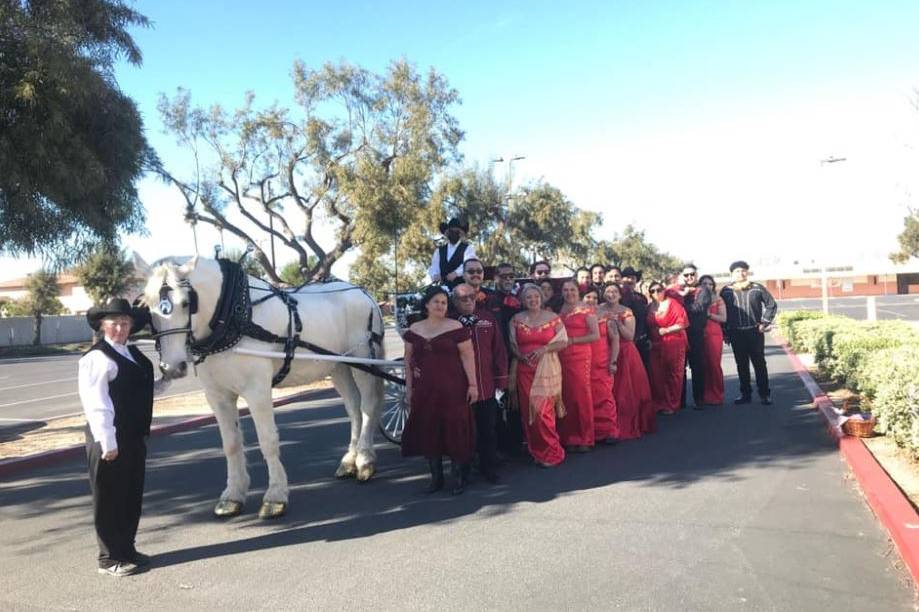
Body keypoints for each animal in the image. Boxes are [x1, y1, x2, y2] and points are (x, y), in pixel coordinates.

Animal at [142, 256, 386, 520]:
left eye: (187, 303)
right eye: (148, 306)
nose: (171, 367)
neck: (233, 316)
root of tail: (364, 293)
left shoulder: (257, 390)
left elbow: (267, 440)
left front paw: (275, 496)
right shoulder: (217, 396)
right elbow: (231, 444)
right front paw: (232, 496)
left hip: (364, 360)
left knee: (368, 407)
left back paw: (365, 460)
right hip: (338, 366)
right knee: (353, 408)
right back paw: (350, 460)